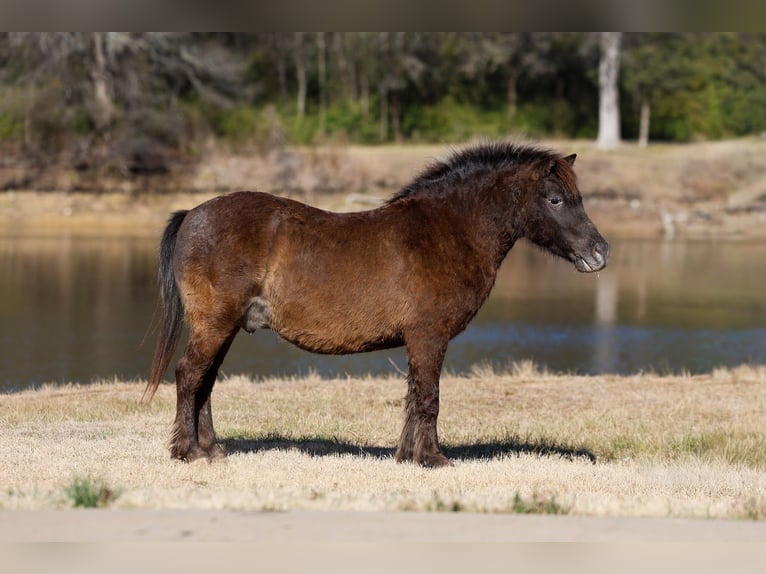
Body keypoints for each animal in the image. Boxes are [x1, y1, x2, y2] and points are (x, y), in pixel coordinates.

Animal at [143, 141, 609, 468]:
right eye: (555, 200)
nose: (600, 252)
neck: (446, 231)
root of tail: (193, 214)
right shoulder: (428, 336)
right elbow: (428, 396)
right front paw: (433, 458)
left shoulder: (420, 340)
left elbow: (414, 394)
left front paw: (408, 455)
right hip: (214, 324)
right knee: (189, 376)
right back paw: (189, 452)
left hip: (223, 329)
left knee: (204, 383)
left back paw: (212, 449)